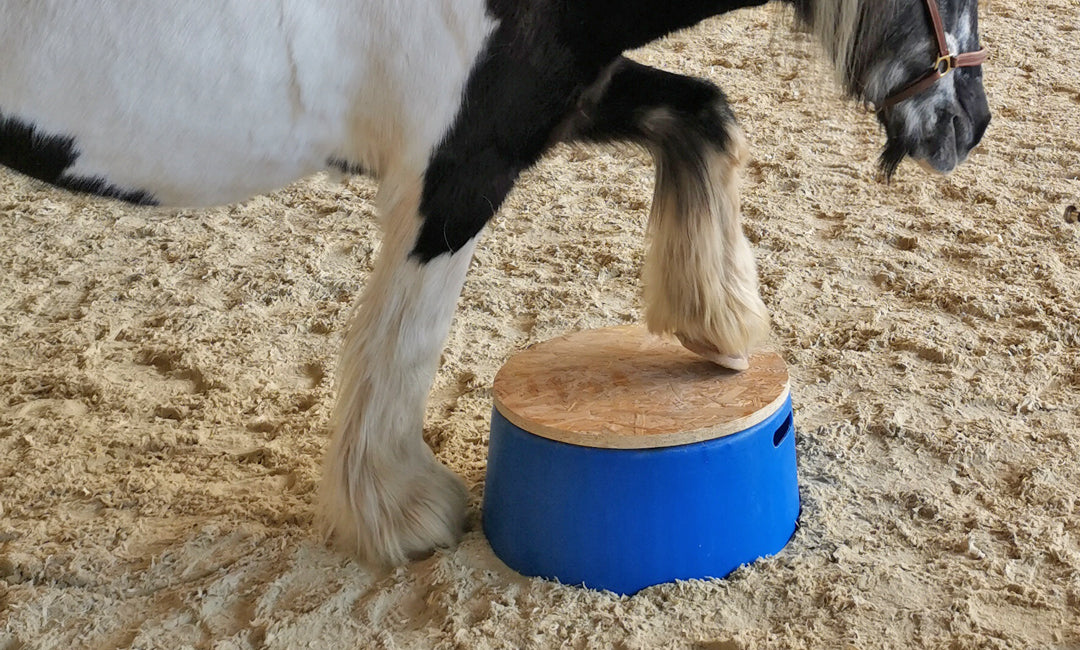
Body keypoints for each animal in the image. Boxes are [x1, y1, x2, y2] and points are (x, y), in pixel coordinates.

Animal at [0, 0, 989, 566]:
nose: (971, 124)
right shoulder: (460, 172)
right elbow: (407, 342)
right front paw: (400, 514)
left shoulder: (561, 98)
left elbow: (704, 113)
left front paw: (714, 326)